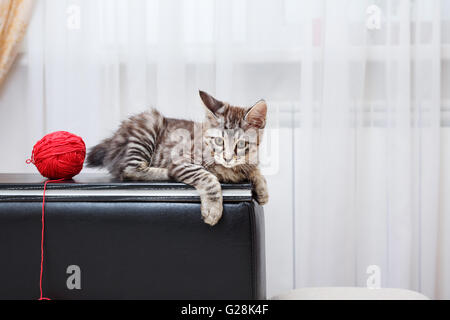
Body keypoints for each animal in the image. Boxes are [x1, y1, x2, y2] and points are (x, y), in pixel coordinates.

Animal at [86, 89, 268, 225]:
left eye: (241, 144)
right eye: (218, 141)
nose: (228, 158)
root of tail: (113, 139)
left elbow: (254, 169)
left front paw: (262, 189)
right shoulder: (182, 160)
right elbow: (207, 177)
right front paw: (213, 209)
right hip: (147, 126)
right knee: (128, 170)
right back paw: (165, 172)